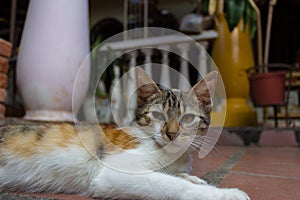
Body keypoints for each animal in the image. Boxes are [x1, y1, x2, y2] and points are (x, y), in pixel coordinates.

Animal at [0, 67, 250, 200]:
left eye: (188, 118)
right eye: (157, 115)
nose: (172, 134)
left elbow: (178, 175)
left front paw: (196, 179)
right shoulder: (115, 172)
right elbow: (173, 184)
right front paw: (225, 193)